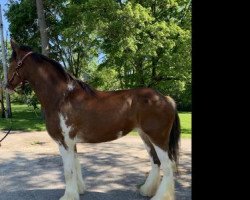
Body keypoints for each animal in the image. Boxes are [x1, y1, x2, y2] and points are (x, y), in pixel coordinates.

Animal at [3, 39, 180, 200]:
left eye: (12, 63)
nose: (5, 86)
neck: (62, 97)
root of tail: (165, 98)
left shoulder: (64, 142)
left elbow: (68, 171)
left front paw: (69, 196)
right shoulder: (71, 142)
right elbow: (76, 165)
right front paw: (79, 190)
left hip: (158, 138)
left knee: (167, 166)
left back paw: (161, 196)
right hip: (146, 136)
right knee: (156, 162)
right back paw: (147, 190)